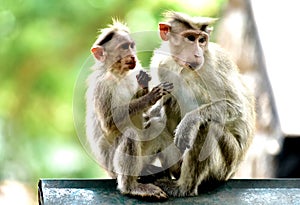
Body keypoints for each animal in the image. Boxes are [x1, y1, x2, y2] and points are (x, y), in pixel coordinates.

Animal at [85, 20, 182, 200]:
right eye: (124, 47)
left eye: (131, 46)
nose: (132, 55)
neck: (119, 74)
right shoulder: (102, 86)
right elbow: (109, 123)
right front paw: (149, 96)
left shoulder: (133, 71)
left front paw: (144, 86)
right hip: (113, 167)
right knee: (130, 135)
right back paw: (131, 187)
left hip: (144, 157)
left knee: (157, 127)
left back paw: (176, 170)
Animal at [150, 11, 255, 197]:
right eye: (190, 38)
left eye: (202, 40)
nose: (198, 54)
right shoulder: (161, 64)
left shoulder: (214, 65)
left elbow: (236, 107)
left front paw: (190, 121)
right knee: (171, 102)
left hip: (225, 165)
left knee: (206, 126)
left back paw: (184, 187)